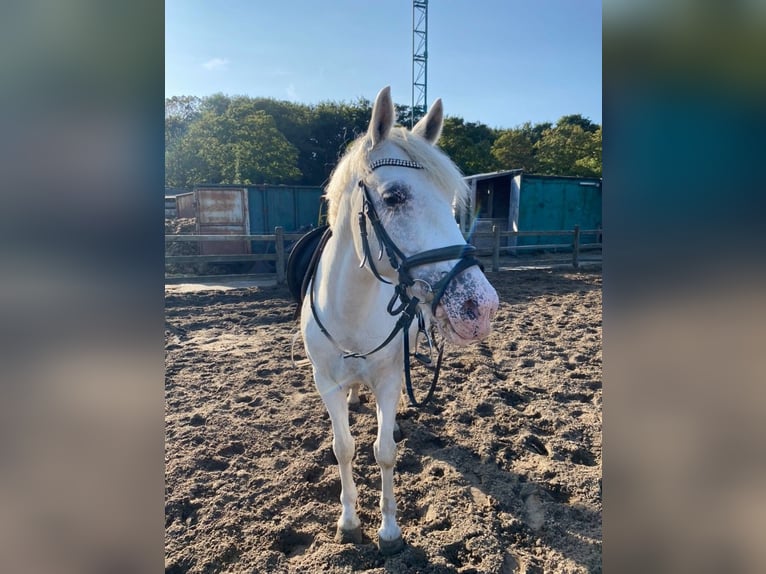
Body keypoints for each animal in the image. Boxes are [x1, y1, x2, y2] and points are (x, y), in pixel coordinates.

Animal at [300, 84, 498, 552]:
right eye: (394, 197)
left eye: (451, 204)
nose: (480, 307)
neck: (351, 311)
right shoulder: (326, 382)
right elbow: (343, 448)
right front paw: (349, 521)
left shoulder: (390, 378)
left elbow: (384, 450)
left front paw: (389, 530)